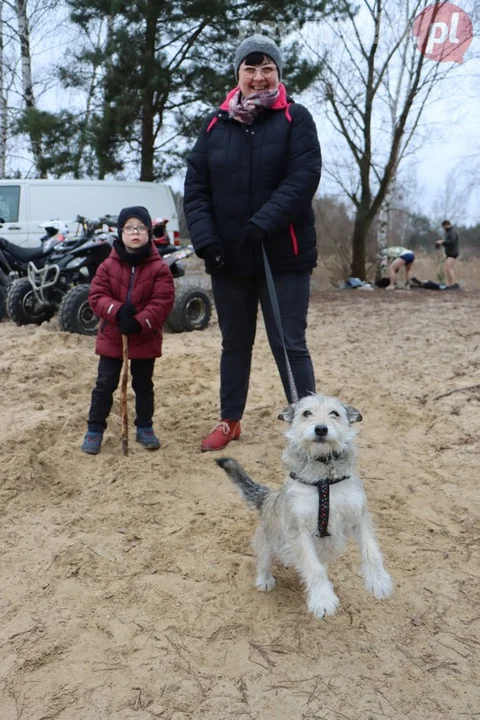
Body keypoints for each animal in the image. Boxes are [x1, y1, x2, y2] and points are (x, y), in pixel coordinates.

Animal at [216, 394, 392, 620]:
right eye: (306, 413)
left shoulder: (359, 515)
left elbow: (371, 551)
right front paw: (323, 599)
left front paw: (378, 582)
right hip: (267, 542)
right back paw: (265, 580)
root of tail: (268, 497)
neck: (324, 476)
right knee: (264, 560)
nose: (321, 429)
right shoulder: (297, 530)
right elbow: (313, 568)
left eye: (334, 413)